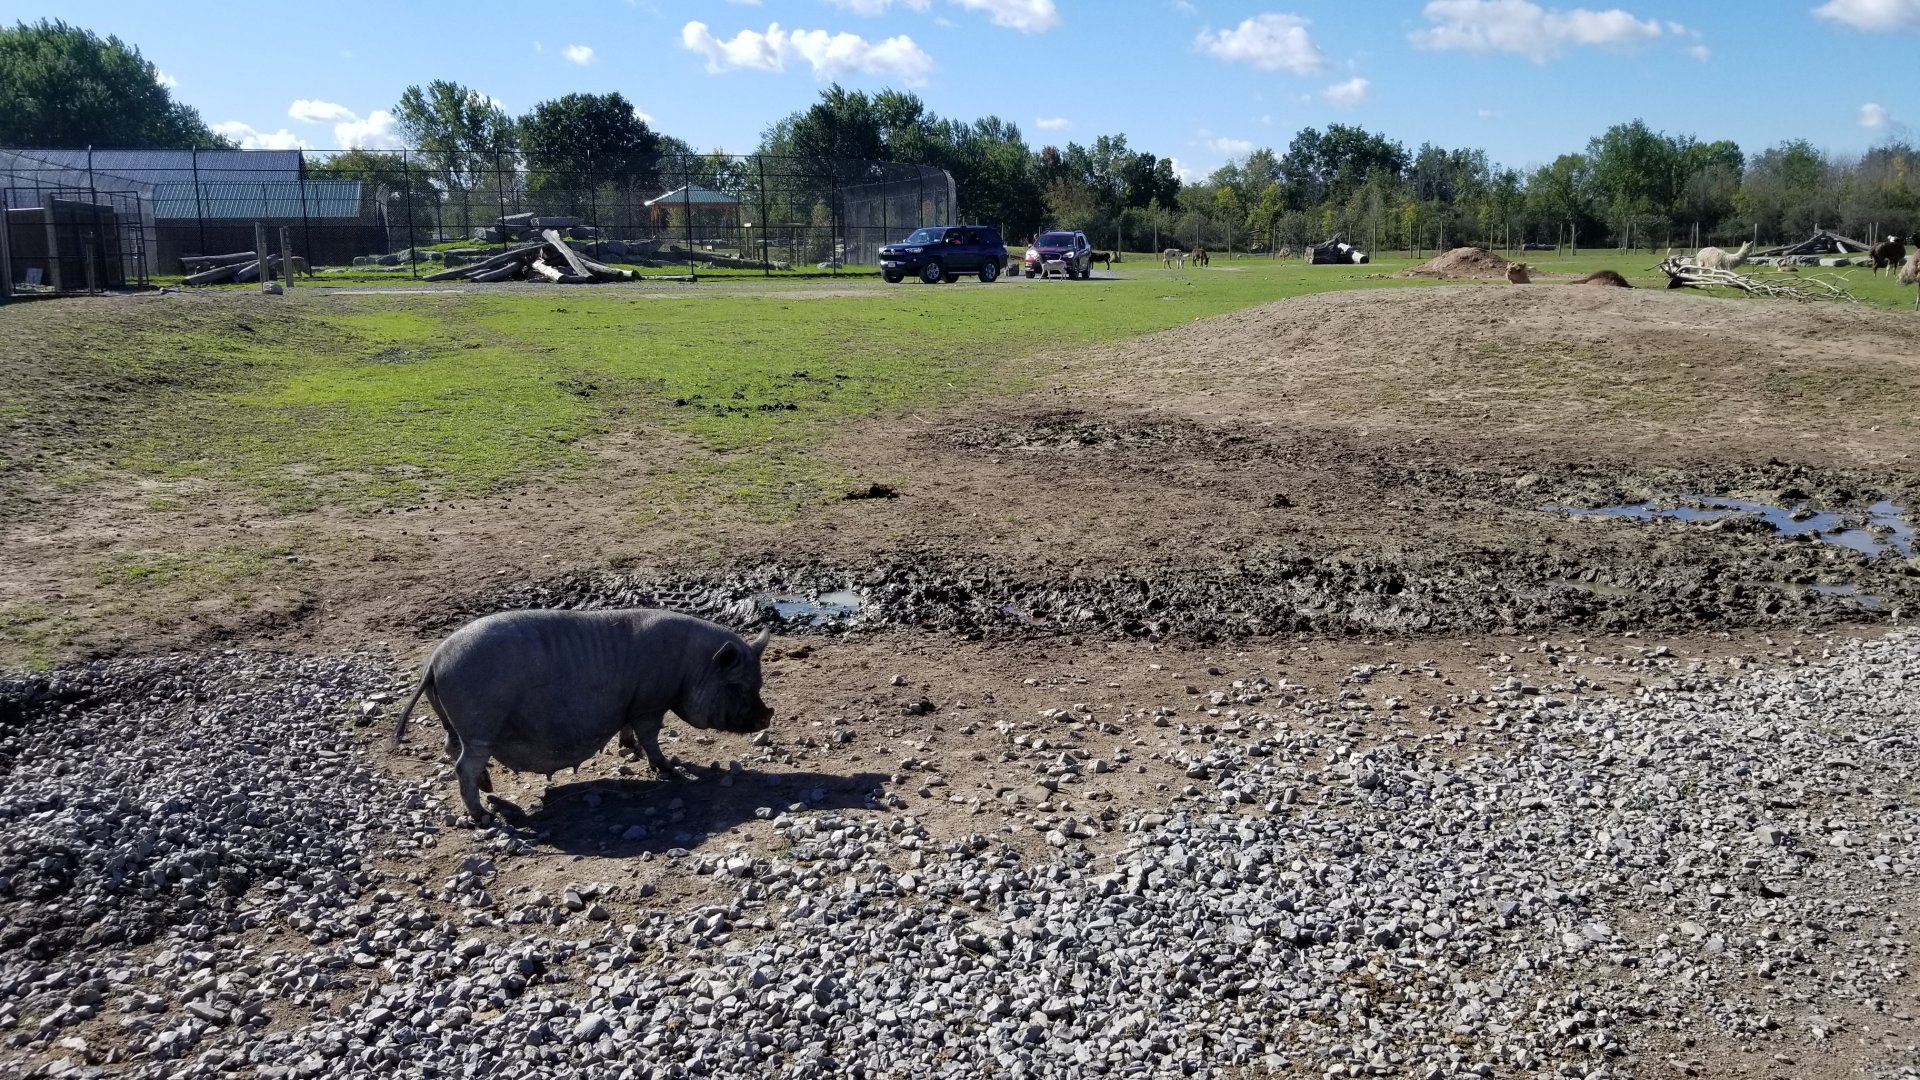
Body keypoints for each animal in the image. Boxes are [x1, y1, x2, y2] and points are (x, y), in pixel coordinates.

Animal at [392, 608, 773, 821]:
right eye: (737, 686)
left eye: (759, 682)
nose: (767, 717)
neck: (691, 666)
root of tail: (434, 661)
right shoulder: (650, 703)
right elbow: (651, 736)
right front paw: (670, 769)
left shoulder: (633, 704)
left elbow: (630, 730)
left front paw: (628, 749)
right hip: (479, 724)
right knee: (463, 766)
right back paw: (484, 816)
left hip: (455, 723)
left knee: (450, 748)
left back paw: (487, 789)